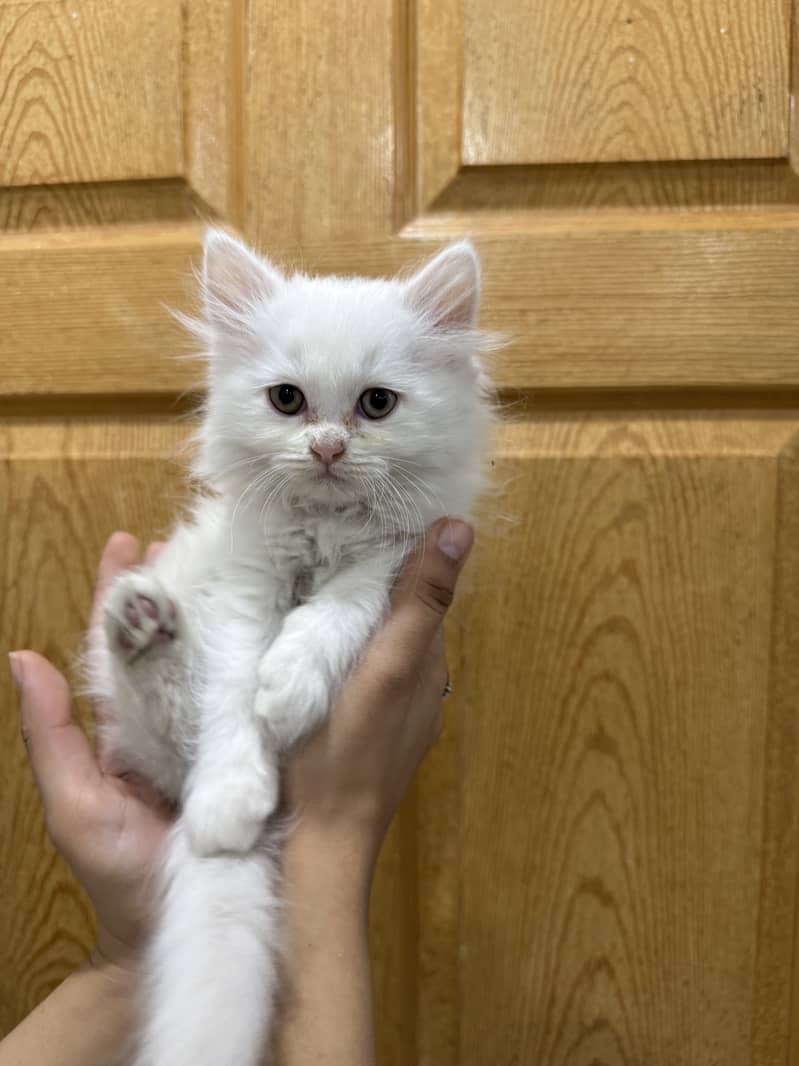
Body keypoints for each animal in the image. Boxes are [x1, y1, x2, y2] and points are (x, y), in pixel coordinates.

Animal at [87, 231, 494, 1066]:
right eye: (286, 400)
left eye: (376, 404)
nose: (329, 447)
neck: (321, 529)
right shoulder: (244, 591)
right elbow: (232, 700)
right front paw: (227, 800)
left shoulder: (386, 568)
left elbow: (327, 620)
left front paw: (291, 687)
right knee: (173, 711)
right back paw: (141, 623)